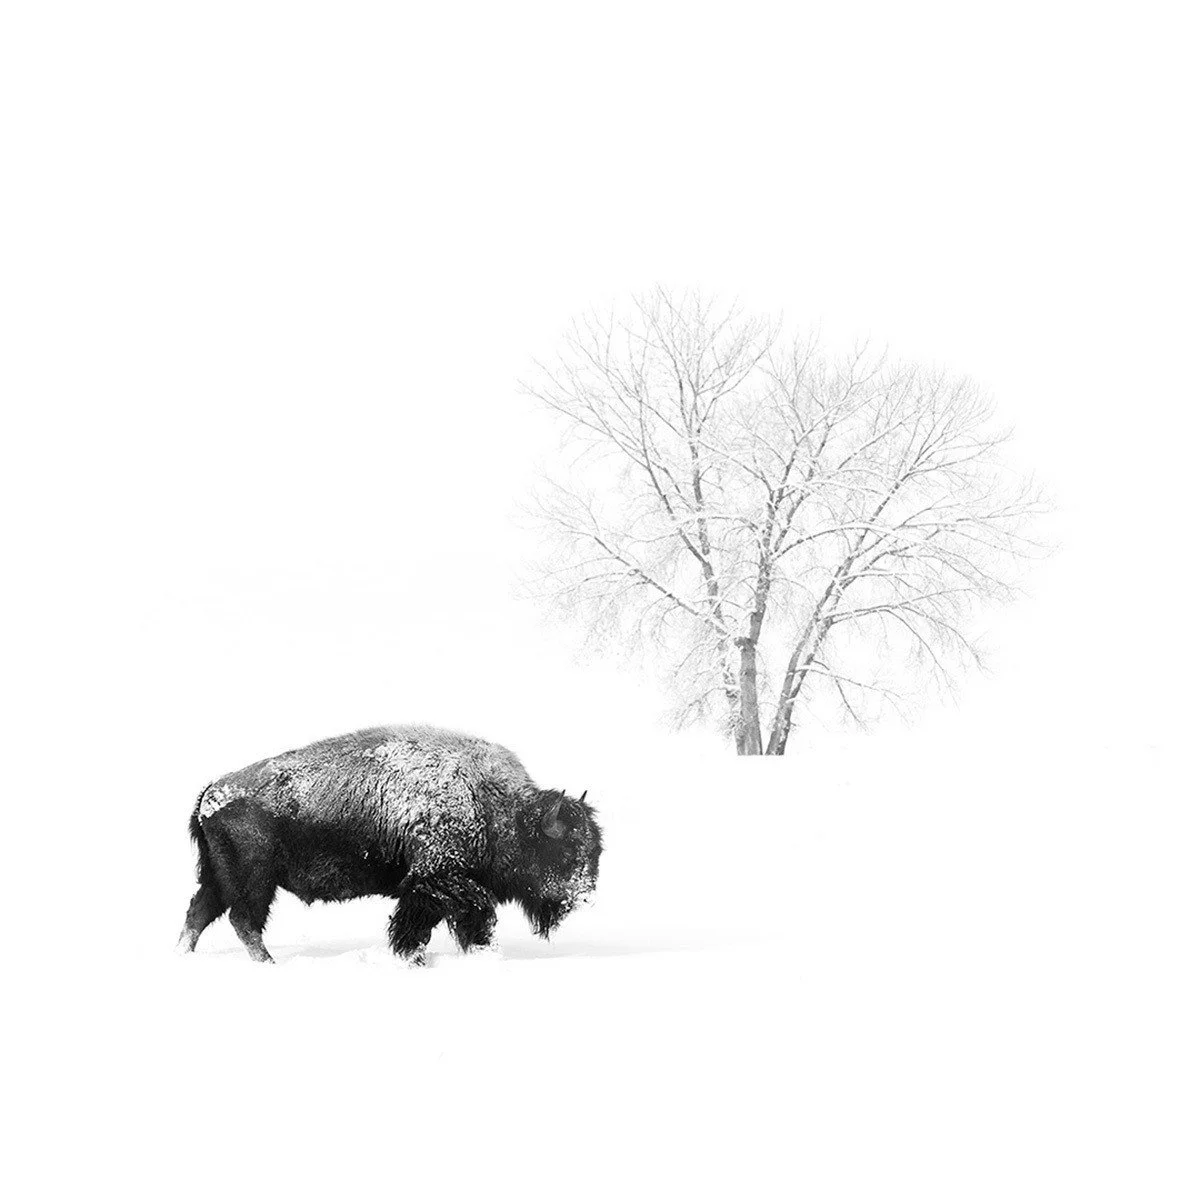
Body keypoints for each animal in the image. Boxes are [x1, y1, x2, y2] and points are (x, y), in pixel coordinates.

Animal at [178, 725, 601, 963]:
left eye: (596, 850)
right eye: (565, 851)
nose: (584, 897)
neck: (489, 802)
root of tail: (211, 792)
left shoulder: (436, 887)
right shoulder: (435, 881)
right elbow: (454, 917)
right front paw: (415, 958)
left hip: (219, 876)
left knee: (200, 913)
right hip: (253, 879)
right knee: (243, 920)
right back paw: (269, 964)